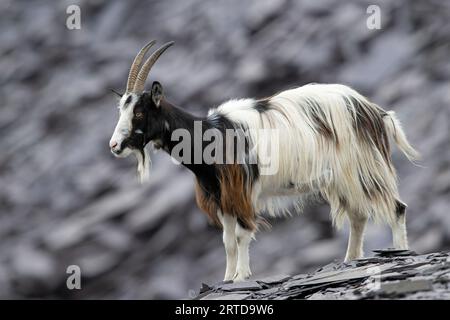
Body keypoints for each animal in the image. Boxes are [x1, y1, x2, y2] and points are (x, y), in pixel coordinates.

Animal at [108, 40, 418, 282]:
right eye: (121, 109)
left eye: (139, 112)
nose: (114, 146)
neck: (210, 136)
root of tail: (376, 112)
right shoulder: (221, 197)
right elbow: (227, 242)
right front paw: (227, 278)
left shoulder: (242, 190)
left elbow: (242, 235)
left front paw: (242, 276)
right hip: (342, 178)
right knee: (359, 215)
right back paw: (350, 259)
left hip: (365, 166)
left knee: (396, 207)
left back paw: (399, 251)